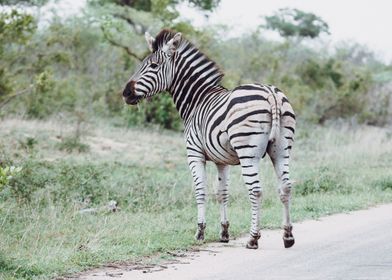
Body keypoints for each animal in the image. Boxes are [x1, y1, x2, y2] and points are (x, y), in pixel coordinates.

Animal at [121, 30, 294, 249]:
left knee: (255, 190)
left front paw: (200, 231)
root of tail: (270, 93)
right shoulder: (222, 160)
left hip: (248, 152)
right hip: (281, 150)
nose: (125, 93)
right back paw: (288, 236)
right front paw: (224, 232)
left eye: (153, 66)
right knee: (285, 187)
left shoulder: (194, 154)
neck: (196, 100)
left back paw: (253, 238)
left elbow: (200, 190)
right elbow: (222, 193)